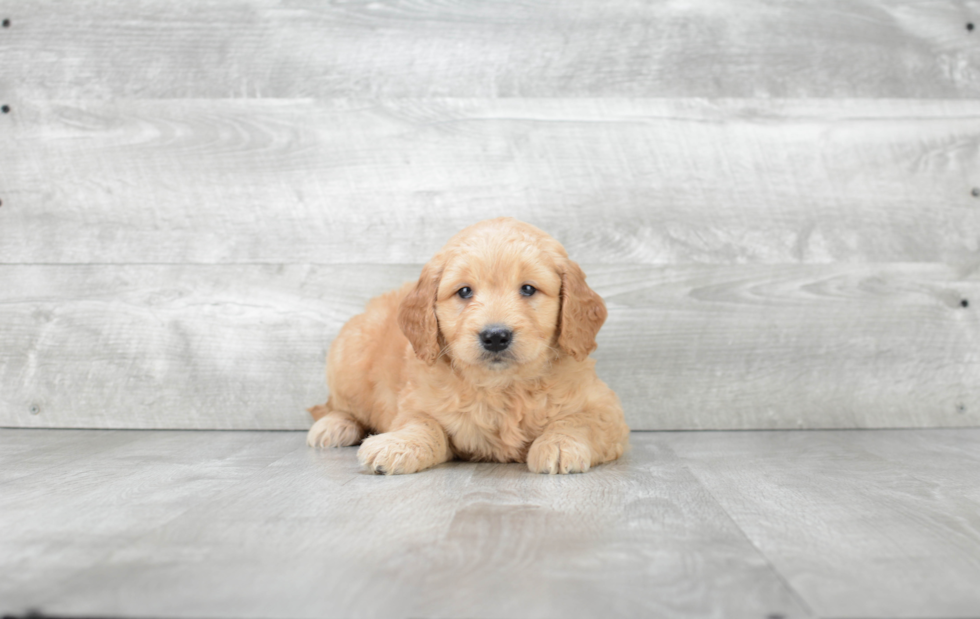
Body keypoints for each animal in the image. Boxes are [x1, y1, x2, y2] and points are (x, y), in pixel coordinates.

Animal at [306, 218, 628, 474]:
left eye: (528, 289)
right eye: (464, 292)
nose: (495, 336)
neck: (503, 387)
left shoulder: (607, 411)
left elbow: (579, 421)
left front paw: (559, 445)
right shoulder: (416, 404)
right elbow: (423, 425)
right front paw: (396, 446)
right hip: (349, 359)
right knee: (334, 406)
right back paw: (334, 426)